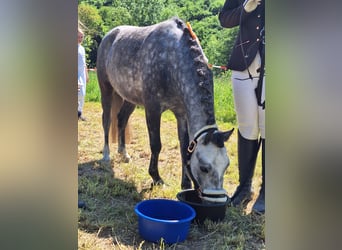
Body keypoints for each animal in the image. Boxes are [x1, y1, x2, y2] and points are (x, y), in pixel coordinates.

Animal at [97, 17, 235, 201]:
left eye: (226, 165)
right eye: (205, 167)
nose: (217, 200)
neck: (172, 60)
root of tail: (110, 35)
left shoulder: (182, 114)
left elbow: (185, 148)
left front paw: (185, 184)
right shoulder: (153, 109)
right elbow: (156, 145)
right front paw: (156, 178)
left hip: (129, 98)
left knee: (121, 119)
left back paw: (124, 153)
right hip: (106, 89)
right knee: (107, 120)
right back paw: (106, 154)